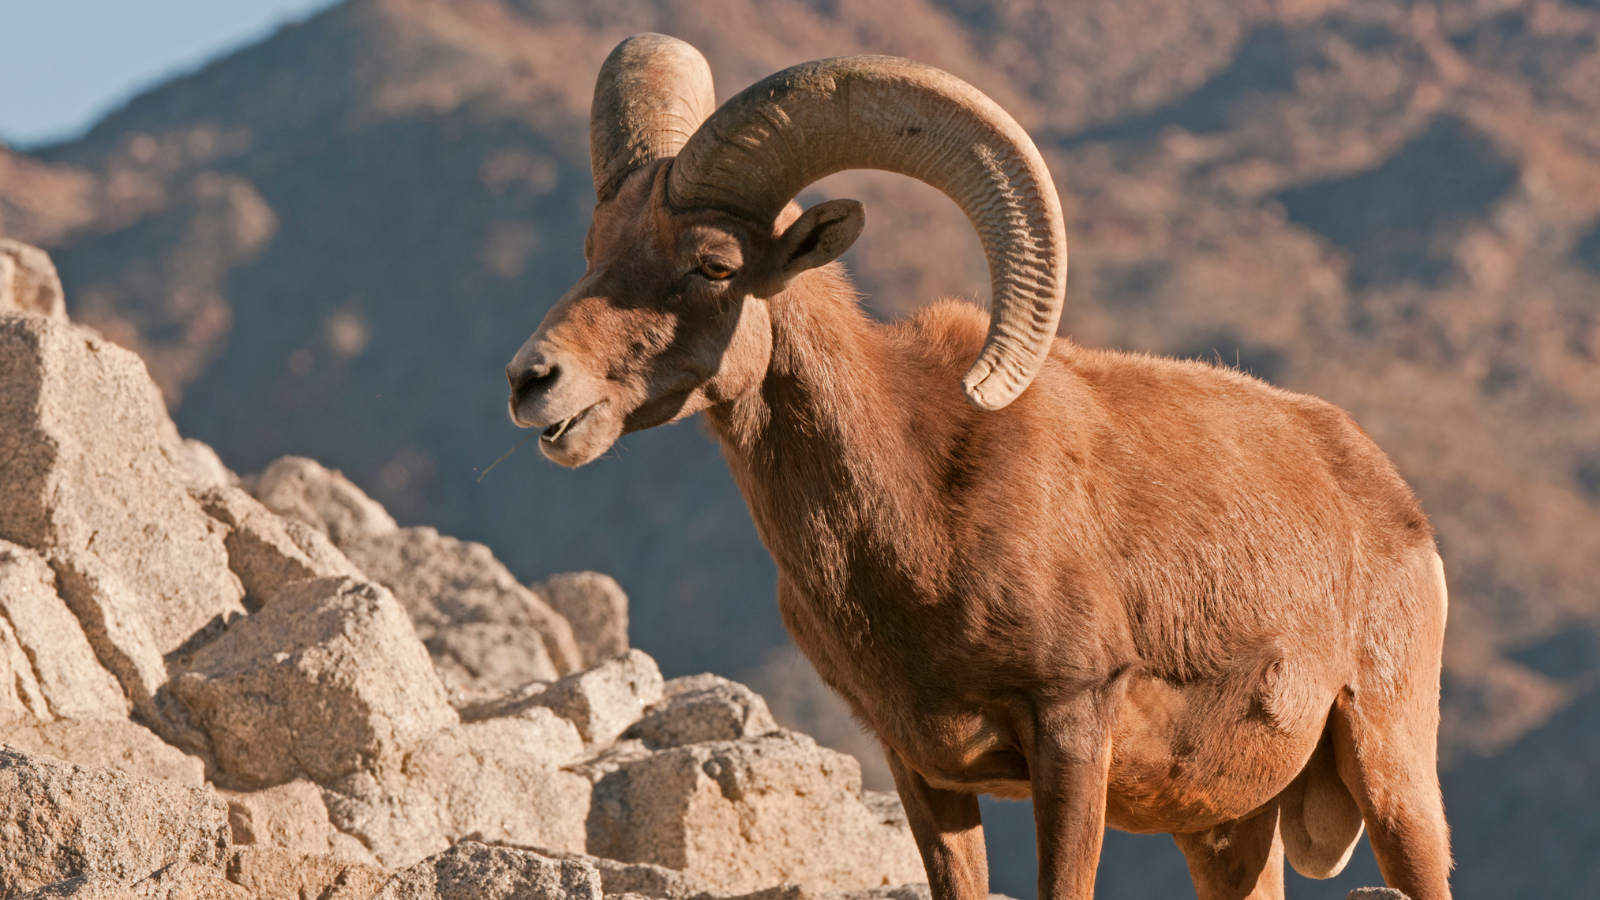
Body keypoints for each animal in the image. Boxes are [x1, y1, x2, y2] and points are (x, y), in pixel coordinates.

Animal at [504, 34, 1452, 900]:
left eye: (714, 263)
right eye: (595, 245)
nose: (532, 381)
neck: (922, 514)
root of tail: (1393, 501)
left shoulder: (1071, 727)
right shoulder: (921, 765)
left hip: (1392, 775)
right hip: (1225, 829)